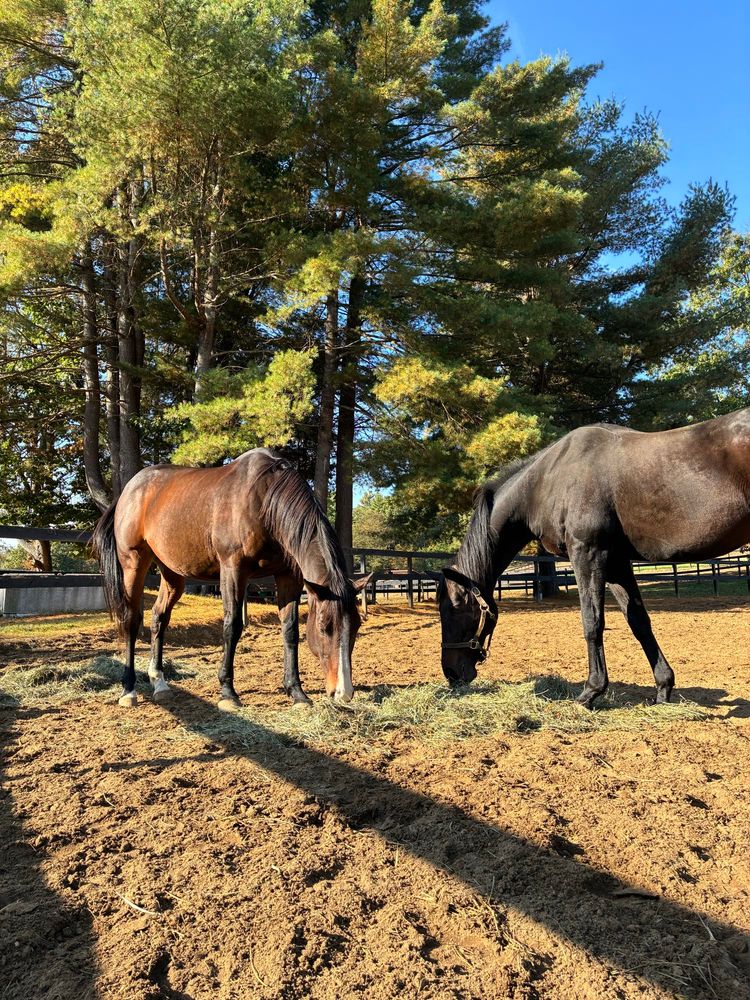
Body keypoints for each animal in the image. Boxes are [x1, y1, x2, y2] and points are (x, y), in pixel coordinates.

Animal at [92, 448, 371, 710]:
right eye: (324, 627)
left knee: (159, 617)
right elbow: (232, 625)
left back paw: (159, 681)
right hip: (134, 562)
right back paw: (128, 689)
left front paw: (297, 692)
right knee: (131, 619)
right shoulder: (233, 569)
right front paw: (228, 692)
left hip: (172, 573)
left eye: (356, 626)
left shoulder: (288, 575)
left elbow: (290, 629)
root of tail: (130, 490)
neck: (265, 501)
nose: (343, 692)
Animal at [437, 408, 750, 708]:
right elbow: (638, 621)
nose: (451, 673)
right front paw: (663, 688)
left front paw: (591, 691)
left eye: (453, 609)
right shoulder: (615, 563)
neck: (548, 480)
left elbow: (592, 621)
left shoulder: (587, 554)